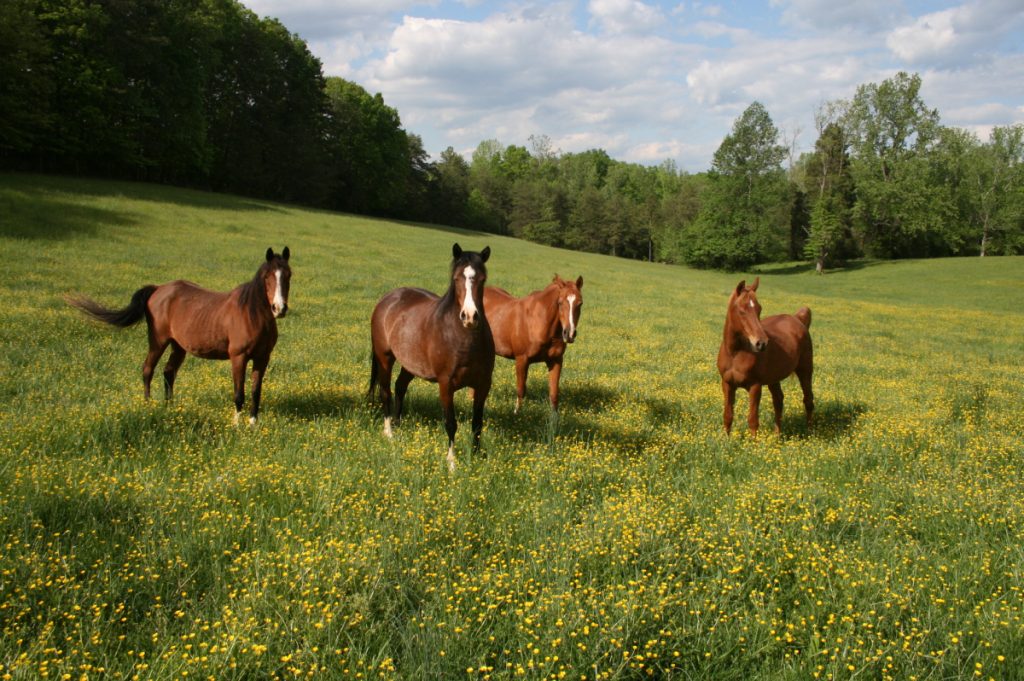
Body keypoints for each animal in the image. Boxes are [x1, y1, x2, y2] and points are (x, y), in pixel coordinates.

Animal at [67, 247, 291, 425]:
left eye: (288, 275)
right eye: (268, 276)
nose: (279, 308)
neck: (251, 315)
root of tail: (158, 289)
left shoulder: (262, 358)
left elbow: (255, 392)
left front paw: (253, 424)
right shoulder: (238, 357)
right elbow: (239, 394)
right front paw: (236, 425)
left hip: (178, 346)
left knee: (168, 372)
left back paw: (170, 407)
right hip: (158, 341)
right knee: (148, 370)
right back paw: (147, 406)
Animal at [369, 243, 495, 471]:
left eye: (482, 279)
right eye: (456, 278)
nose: (470, 317)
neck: (463, 338)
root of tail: (387, 298)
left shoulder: (483, 385)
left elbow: (477, 423)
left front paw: (476, 456)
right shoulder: (446, 385)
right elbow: (451, 423)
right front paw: (452, 463)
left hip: (409, 365)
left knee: (400, 387)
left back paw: (398, 425)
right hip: (384, 359)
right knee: (385, 392)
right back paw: (389, 432)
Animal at [484, 274, 583, 412]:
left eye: (580, 304)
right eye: (560, 302)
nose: (569, 334)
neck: (538, 322)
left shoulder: (556, 360)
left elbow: (554, 394)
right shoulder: (522, 360)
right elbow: (521, 390)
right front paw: (517, 413)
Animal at [717, 277, 813, 435]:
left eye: (759, 309)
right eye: (741, 311)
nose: (761, 343)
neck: (735, 354)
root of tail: (797, 318)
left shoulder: (755, 386)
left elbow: (753, 420)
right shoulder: (727, 384)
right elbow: (728, 416)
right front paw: (725, 439)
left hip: (805, 370)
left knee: (808, 399)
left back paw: (810, 432)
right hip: (774, 378)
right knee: (778, 400)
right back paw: (777, 435)